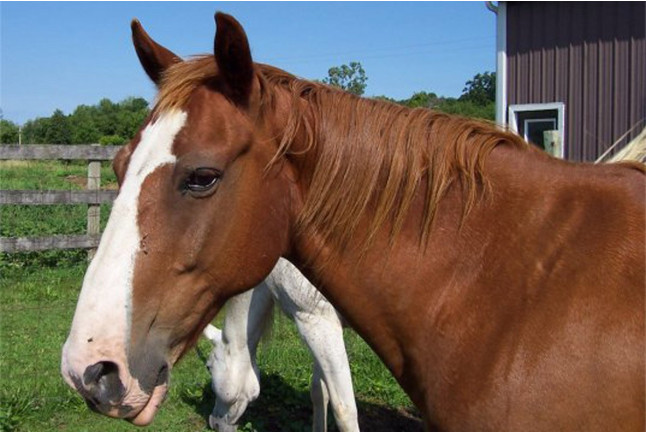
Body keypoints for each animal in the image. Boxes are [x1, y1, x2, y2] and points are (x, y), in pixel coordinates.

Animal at [202, 258, 359, 432]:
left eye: (208, 367)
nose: (214, 423)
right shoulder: (317, 333)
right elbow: (319, 392)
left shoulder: (318, 324)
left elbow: (344, 412)